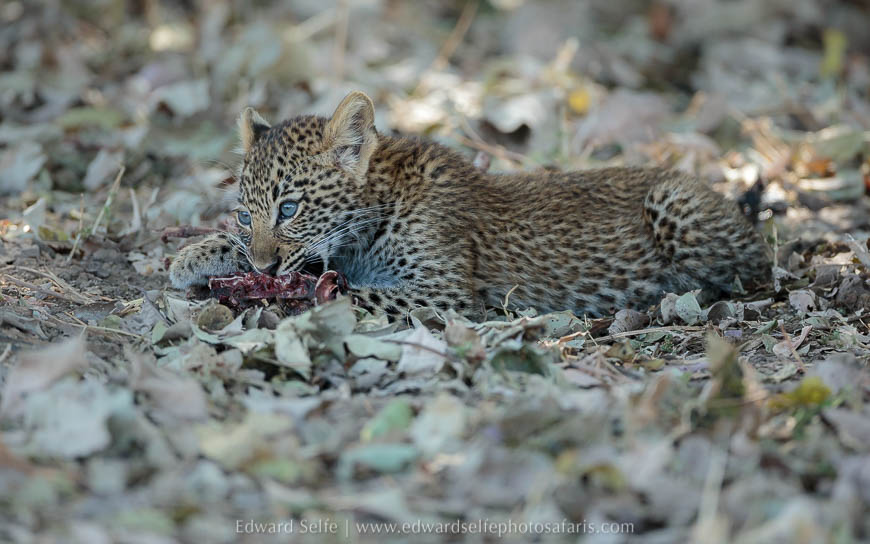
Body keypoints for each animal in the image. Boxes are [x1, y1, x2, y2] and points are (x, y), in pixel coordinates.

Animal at [169, 91, 771, 320]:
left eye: (291, 209)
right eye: (245, 215)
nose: (264, 266)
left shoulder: (447, 294)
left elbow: (355, 293)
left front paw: (288, 294)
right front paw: (194, 257)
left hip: (674, 204)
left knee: (748, 271)